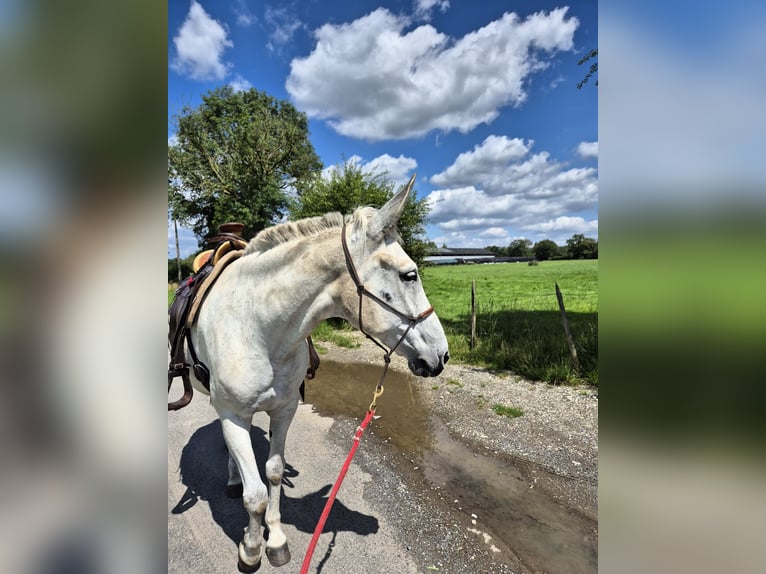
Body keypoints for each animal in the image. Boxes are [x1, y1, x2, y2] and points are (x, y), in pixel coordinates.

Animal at [186, 178, 450, 572]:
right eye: (410, 274)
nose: (442, 355)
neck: (258, 326)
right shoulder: (233, 412)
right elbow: (255, 495)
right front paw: (251, 548)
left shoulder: (284, 410)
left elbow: (272, 473)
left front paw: (276, 540)